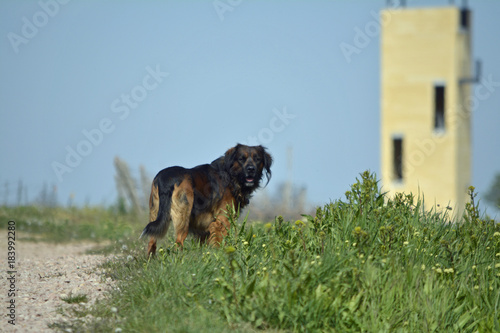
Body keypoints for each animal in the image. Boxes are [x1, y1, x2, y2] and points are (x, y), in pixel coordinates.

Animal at [141, 143, 274, 256]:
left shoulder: (204, 229)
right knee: (178, 242)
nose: (251, 169)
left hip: (155, 212)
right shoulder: (222, 221)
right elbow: (220, 242)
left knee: (151, 242)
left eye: (258, 159)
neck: (230, 174)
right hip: (183, 217)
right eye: (241, 159)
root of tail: (167, 178)